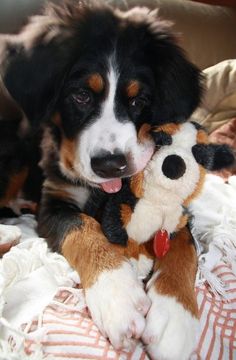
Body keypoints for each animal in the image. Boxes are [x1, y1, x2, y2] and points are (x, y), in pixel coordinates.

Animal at [0, 1, 205, 358]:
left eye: (139, 100)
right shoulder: (54, 201)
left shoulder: (175, 206)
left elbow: (184, 245)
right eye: (81, 96)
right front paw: (117, 295)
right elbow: (84, 229)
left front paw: (175, 314)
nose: (110, 165)